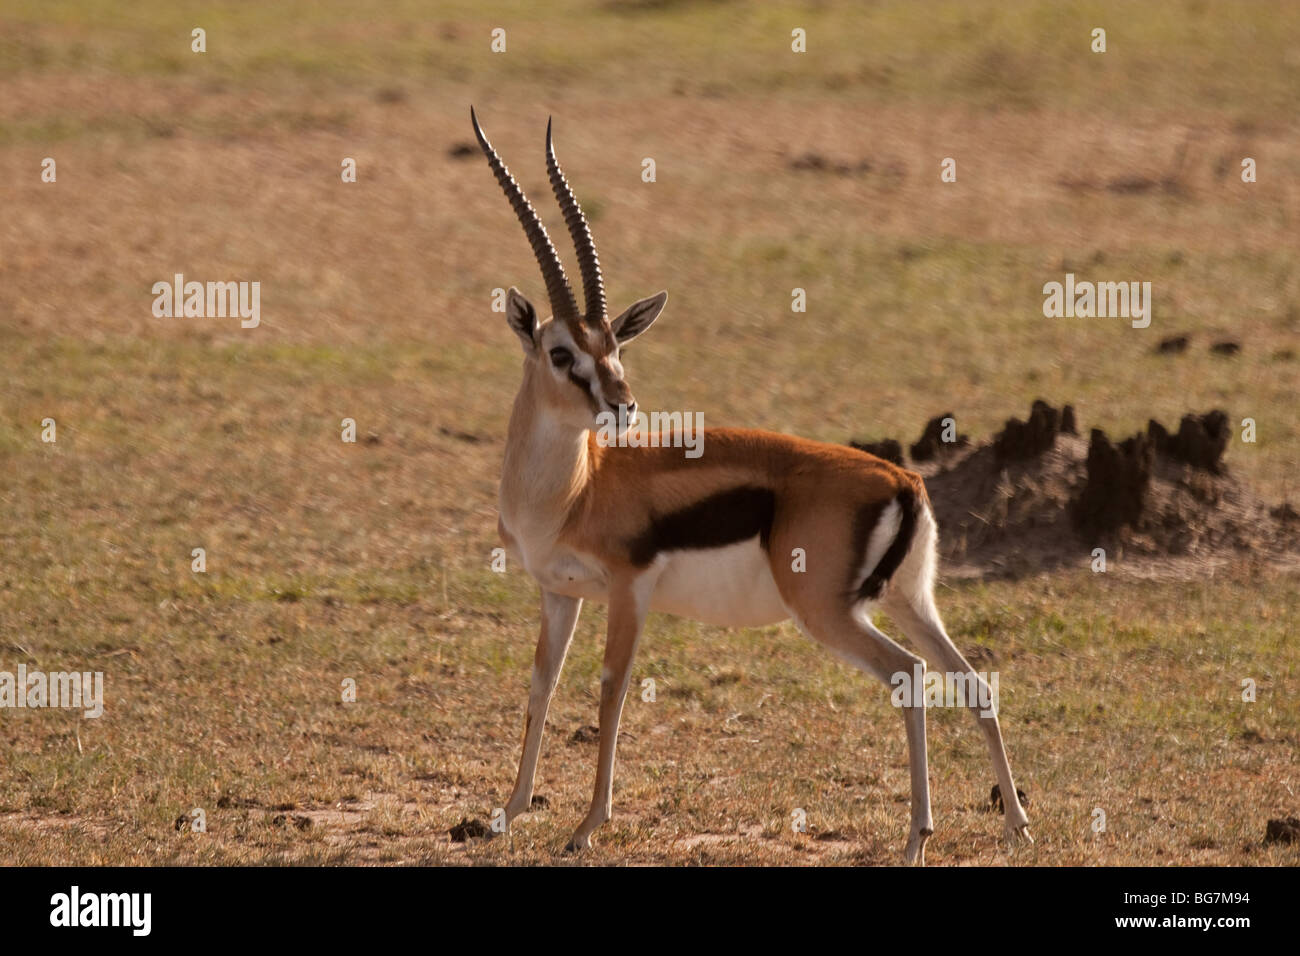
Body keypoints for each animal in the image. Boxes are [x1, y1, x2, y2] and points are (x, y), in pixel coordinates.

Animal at [470, 108, 1032, 864]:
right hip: (911, 600)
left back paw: (918, 835)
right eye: (563, 353)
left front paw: (587, 826)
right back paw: (1016, 823)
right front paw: (509, 809)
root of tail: (903, 478)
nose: (623, 405)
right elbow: (541, 686)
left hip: (829, 612)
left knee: (912, 677)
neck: (575, 491)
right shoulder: (560, 593)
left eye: (615, 350)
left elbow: (612, 691)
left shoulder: (628, 589)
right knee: (972, 685)